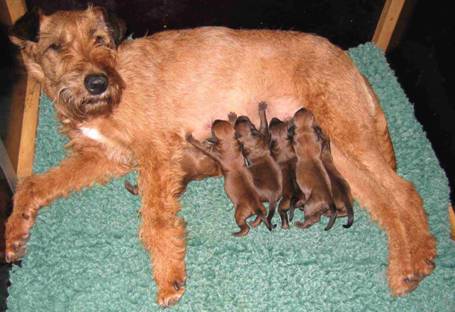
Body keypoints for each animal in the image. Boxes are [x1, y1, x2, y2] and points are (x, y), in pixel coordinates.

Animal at [6, 6, 434, 306]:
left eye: (100, 39)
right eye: (56, 47)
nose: (97, 83)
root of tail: (350, 61)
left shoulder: (155, 152)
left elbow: (156, 221)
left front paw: (169, 276)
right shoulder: (105, 158)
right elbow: (33, 184)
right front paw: (15, 230)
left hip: (349, 132)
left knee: (406, 191)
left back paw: (422, 258)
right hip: (337, 151)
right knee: (387, 204)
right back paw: (403, 270)